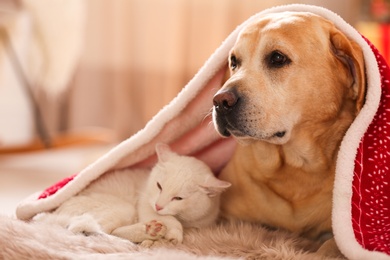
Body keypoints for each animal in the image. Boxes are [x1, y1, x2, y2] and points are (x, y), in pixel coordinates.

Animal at [34, 143, 232, 245]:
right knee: (84, 229)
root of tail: (53, 215)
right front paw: (174, 234)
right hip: (122, 208)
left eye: (178, 198)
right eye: (159, 186)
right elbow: (170, 220)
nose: (158, 205)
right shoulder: (145, 205)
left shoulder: (202, 223)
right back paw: (144, 235)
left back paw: (149, 233)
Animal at [212, 11, 364, 252]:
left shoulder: (341, 235)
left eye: (277, 58)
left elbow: (330, 246)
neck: (295, 168)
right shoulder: (224, 217)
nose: (220, 101)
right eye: (234, 62)